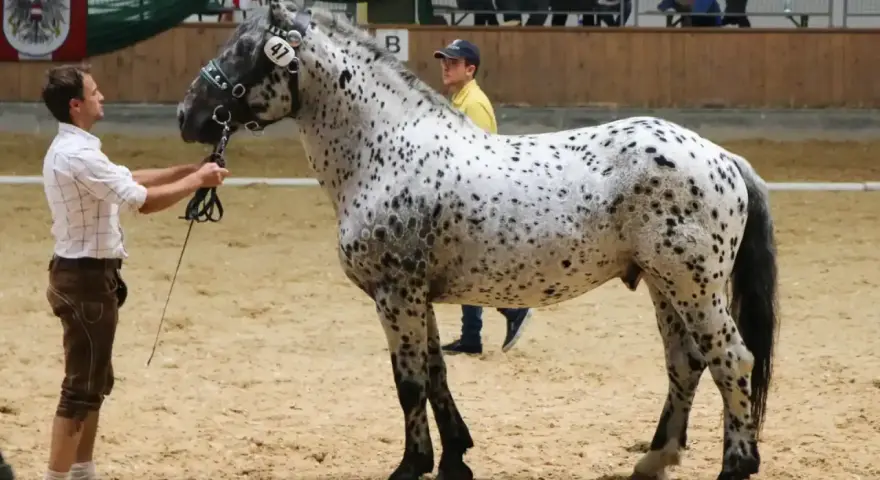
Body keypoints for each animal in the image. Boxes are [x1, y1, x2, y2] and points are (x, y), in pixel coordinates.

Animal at [176, 2, 780, 479]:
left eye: (246, 51)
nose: (188, 115)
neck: (386, 150)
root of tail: (724, 158)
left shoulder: (395, 294)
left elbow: (409, 381)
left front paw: (411, 465)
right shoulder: (419, 296)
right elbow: (437, 373)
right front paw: (454, 458)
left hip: (695, 286)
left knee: (732, 359)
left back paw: (735, 465)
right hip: (663, 284)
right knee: (686, 362)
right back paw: (654, 459)